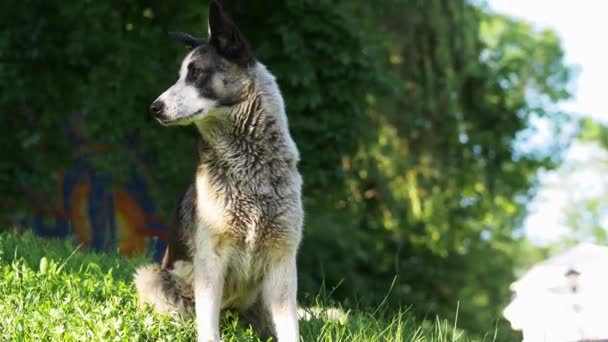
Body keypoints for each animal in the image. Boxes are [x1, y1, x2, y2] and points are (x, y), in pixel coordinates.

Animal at [134, 1, 304, 340]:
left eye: (196, 73)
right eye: (180, 76)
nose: (154, 108)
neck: (249, 166)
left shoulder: (282, 262)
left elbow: (290, 327)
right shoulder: (211, 260)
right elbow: (208, 325)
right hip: (153, 278)